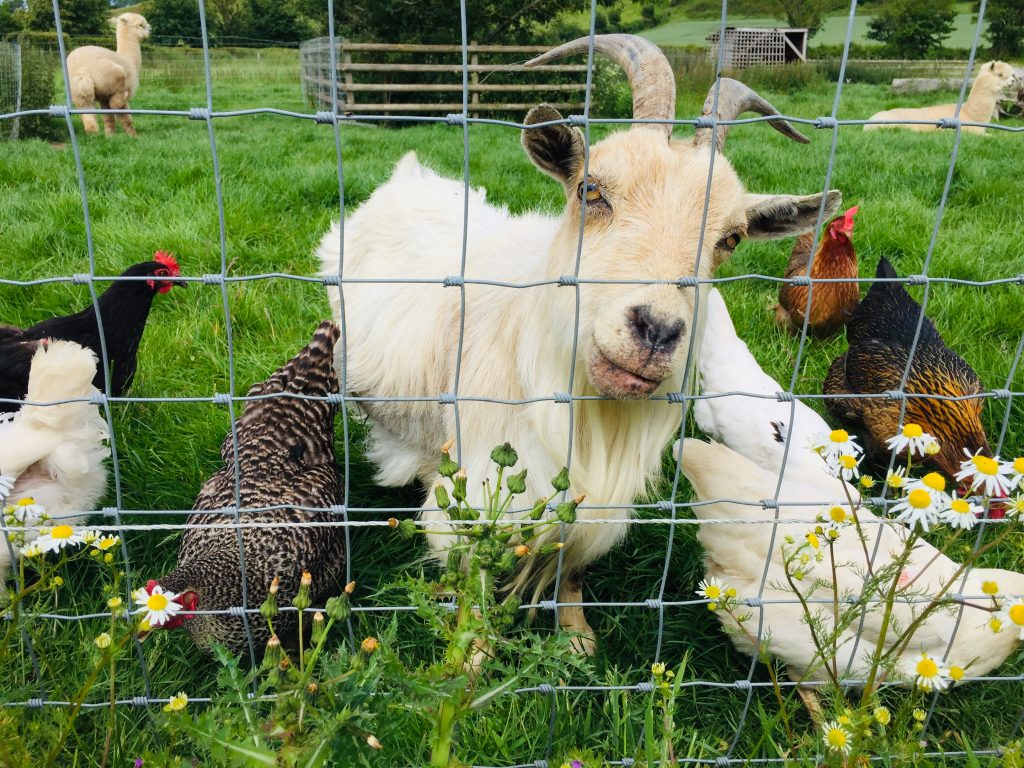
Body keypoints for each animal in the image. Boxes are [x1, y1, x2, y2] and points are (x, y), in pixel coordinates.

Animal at [319, 36, 839, 651]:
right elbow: (475, 575)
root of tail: (410, 175)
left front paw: (576, 639)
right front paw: (471, 656)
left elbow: (572, 564)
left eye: (730, 238)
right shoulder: (486, 487)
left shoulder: (588, 499)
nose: (656, 330)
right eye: (592, 190)